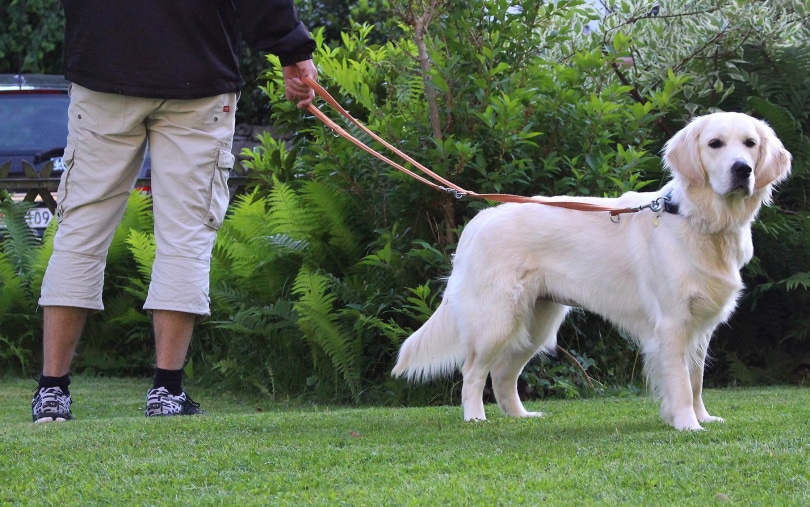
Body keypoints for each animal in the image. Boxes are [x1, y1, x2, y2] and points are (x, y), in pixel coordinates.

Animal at [392, 113, 788, 430]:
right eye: (715, 144)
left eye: (750, 144)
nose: (742, 169)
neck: (697, 218)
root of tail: (479, 221)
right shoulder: (672, 325)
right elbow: (679, 382)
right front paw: (689, 425)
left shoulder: (701, 327)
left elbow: (696, 379)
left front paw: (703, 417)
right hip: (497, 320)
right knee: (473, 371)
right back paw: (475, 417)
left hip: (538, 322)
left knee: (503, 374)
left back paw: (521, 417)